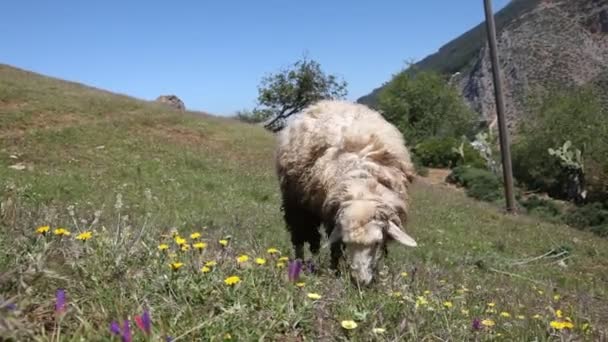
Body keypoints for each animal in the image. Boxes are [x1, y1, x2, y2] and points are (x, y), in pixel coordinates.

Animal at [276, 99, 418, 286]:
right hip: (295, 204)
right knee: (300, 236)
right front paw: (335, 272)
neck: (362, 188)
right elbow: (335, 250)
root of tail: (329, 102)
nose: (360, 281)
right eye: (347, 241)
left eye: (377, 242)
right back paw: (300, 265)